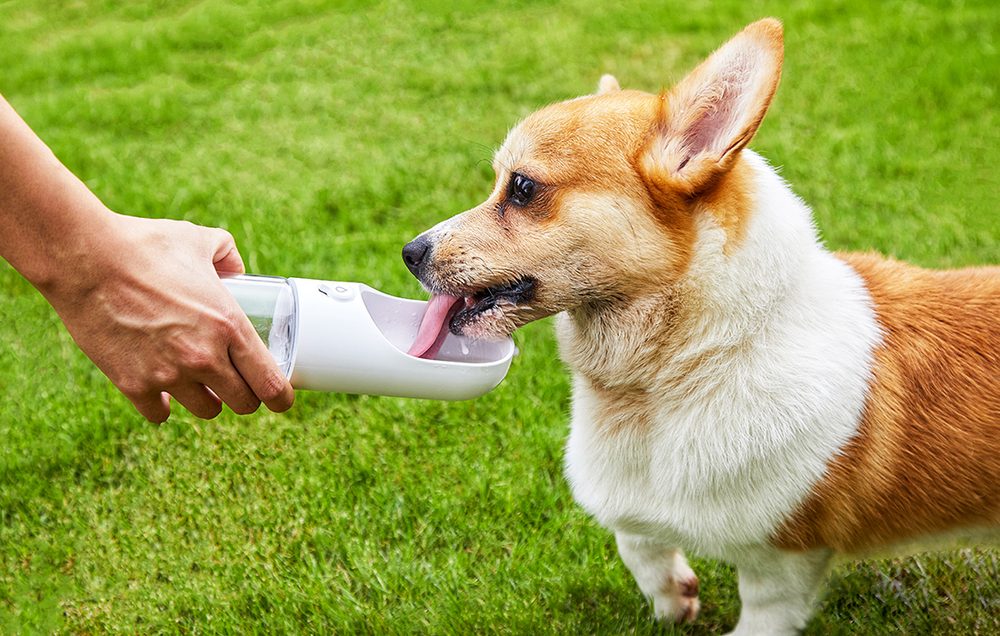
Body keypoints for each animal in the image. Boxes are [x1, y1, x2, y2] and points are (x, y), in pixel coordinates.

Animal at [400, 18, 1000, 636]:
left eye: (521, 188)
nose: (409, 253)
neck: (681, 370)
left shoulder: (783, 563)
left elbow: (761, 616)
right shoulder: (635, 498)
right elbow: (635, 538)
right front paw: (672, 597)